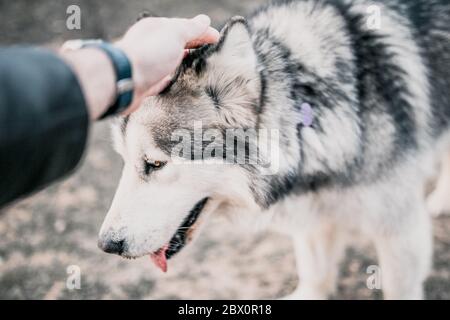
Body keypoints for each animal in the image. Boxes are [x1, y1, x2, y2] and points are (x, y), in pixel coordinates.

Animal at [98, 0, 450, 300]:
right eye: (125, 160)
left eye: (155, 164)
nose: (106, 245)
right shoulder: (313, 214)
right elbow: (314, 273)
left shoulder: (399, 229)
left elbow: (397, 286)